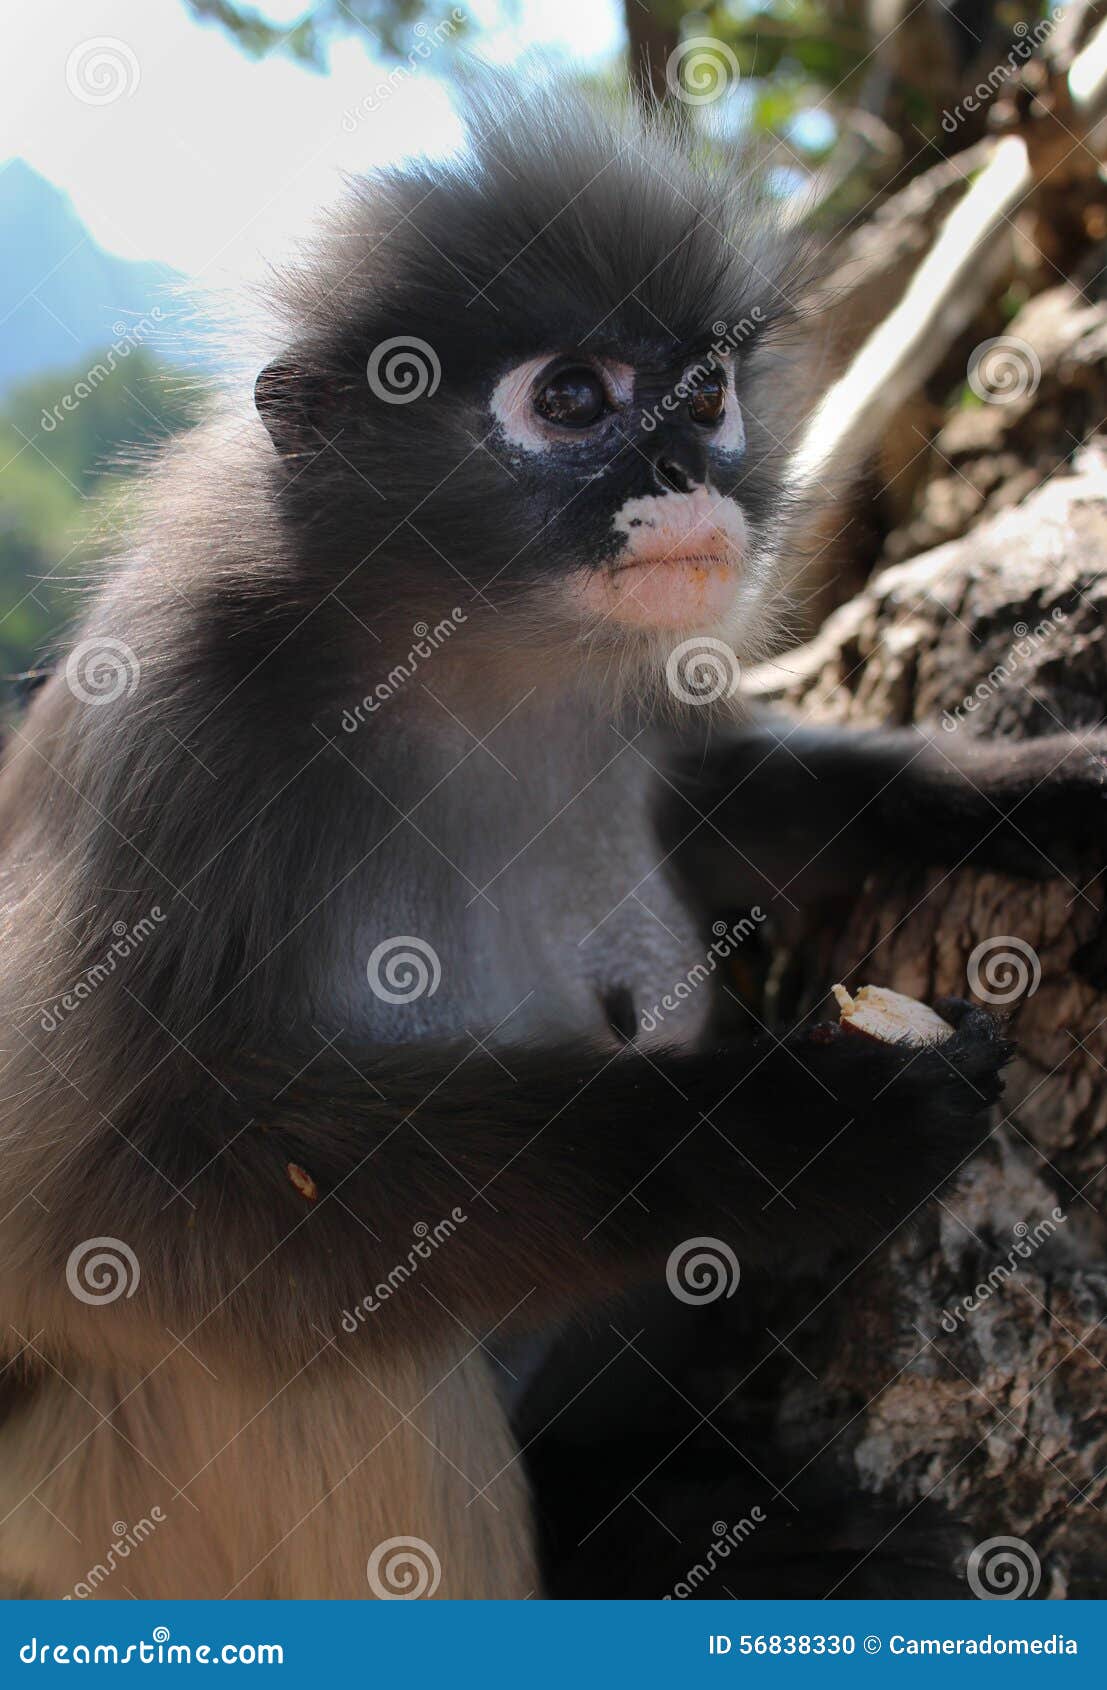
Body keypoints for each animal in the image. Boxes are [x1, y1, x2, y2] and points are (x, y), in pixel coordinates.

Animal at [0, 79, 1101, 1602]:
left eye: (705, 392)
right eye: (572, 397)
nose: (686, 469)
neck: (464, 669)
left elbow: (730, 809)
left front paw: (1037, 787)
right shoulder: (174, 730)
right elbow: (70, 1214)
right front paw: (781, 1130)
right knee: (310, 1358)